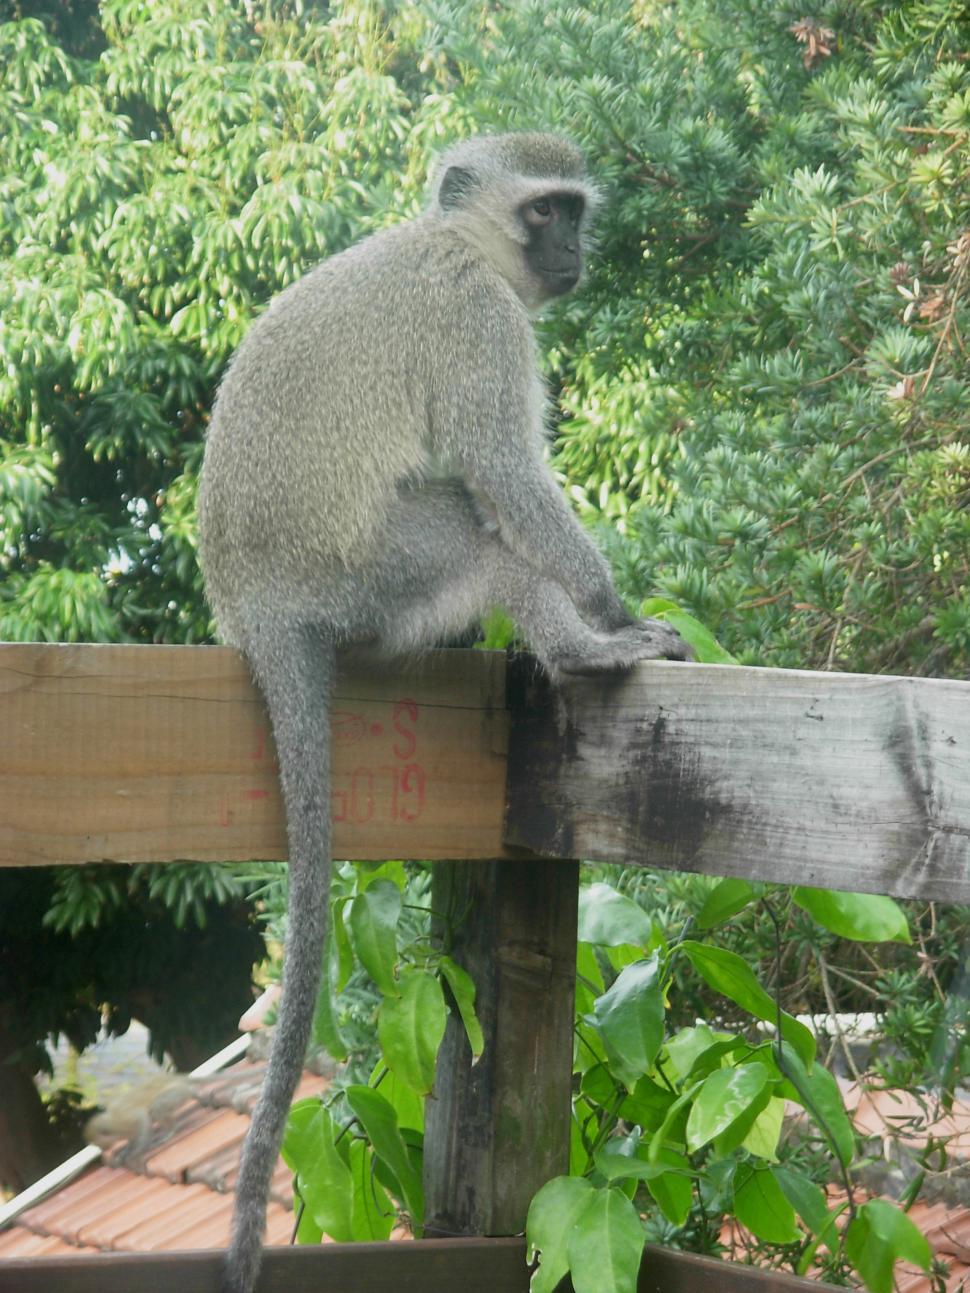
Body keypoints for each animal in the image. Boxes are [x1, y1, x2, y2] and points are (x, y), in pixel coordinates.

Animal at [197, 131, 690, 1293]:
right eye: (547, 209)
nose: (577, 247)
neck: (453, 240)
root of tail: (257, 604)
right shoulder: (480, 317)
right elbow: (507, 473)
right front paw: (612, 609)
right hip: (372, 572)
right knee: (476, 527)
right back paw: (581, 647)